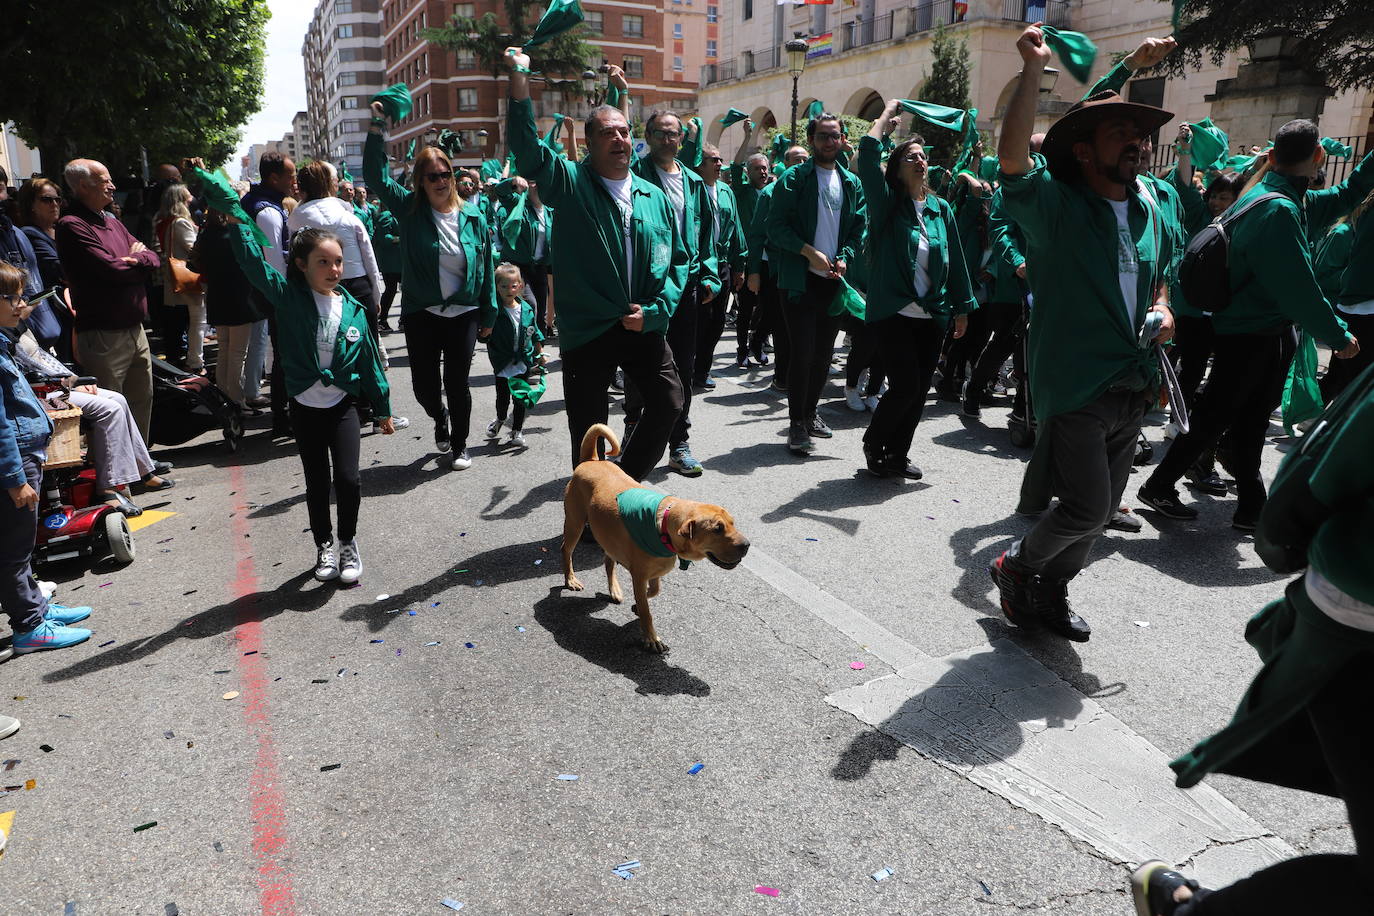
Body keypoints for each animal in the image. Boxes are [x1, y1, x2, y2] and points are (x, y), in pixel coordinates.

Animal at [560, 425, 752, 656]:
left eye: (732, 523)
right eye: (717, 529)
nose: (747, 546)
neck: (663, 528)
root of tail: (591, 460)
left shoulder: (654, 572)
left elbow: (653, 591)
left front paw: (637, 605)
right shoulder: (639, 576)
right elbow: (646, 610)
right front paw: (651, 637)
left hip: (607, 535)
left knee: (608, 562)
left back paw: (614, 589)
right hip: (575, 523)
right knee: (566, 549)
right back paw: (570, 579)